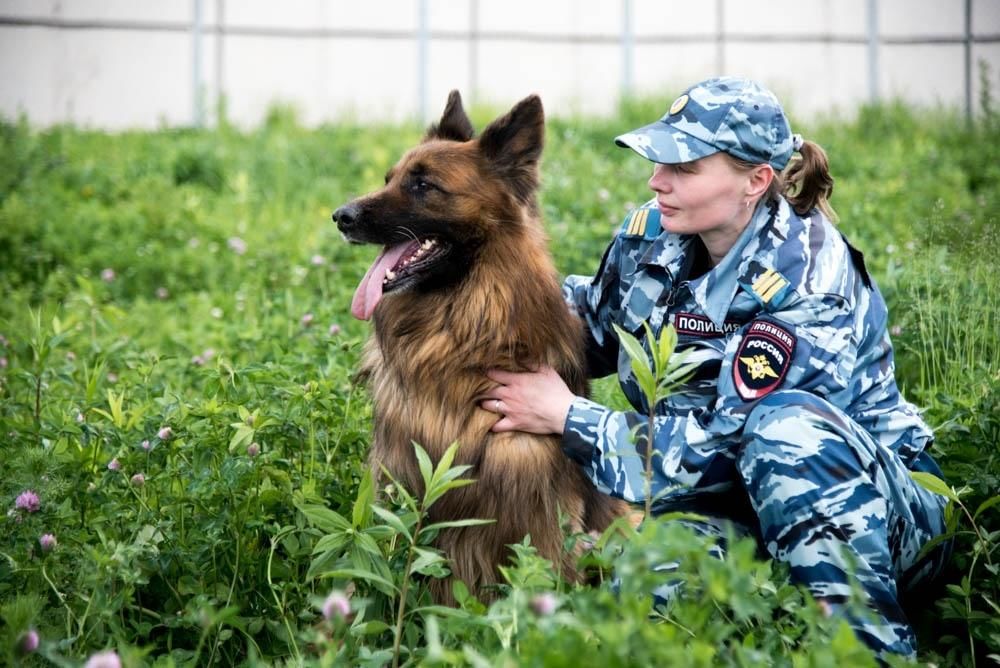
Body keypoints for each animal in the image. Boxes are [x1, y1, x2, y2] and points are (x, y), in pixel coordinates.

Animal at [332, 91, 628, 604]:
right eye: (389, 178)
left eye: (423, 184)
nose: (341, 217)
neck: (454, 333)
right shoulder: (396, 484)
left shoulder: (535, 512)